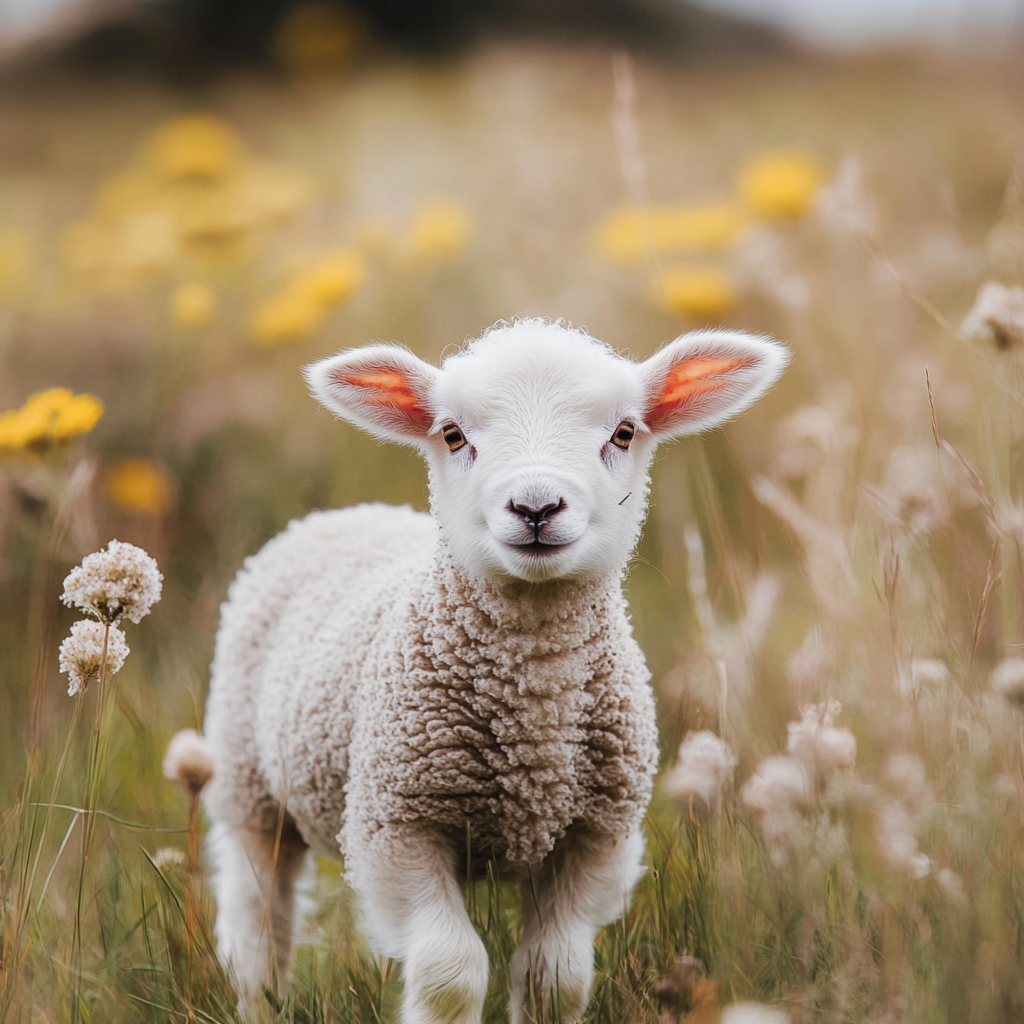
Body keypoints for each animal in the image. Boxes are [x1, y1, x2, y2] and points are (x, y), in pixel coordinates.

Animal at [200, 317, 788, 1024]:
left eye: (623, 432)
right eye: (454, 435)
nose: (535, 507)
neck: (533, 699)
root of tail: (345, 513)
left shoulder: (596, 835)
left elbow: (554, 976)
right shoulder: (397, 825)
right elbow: (449, 972)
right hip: (249, 784)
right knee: (258, 918)